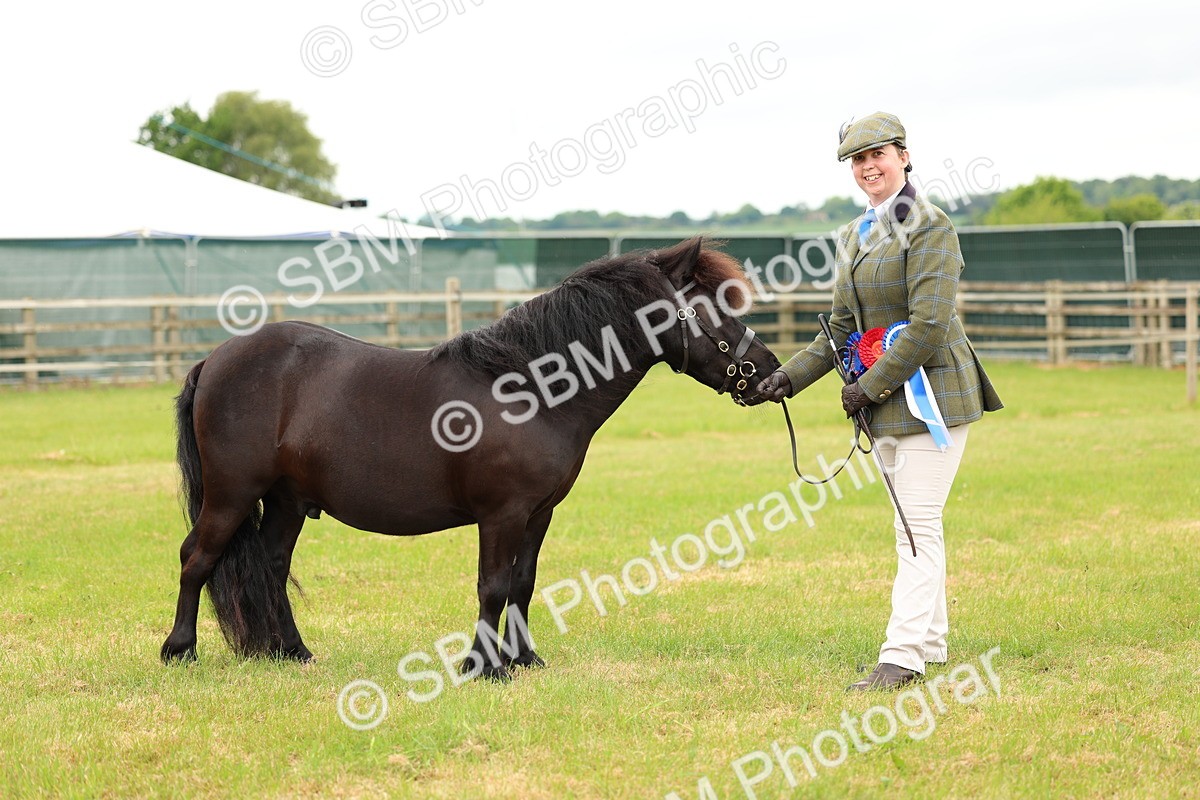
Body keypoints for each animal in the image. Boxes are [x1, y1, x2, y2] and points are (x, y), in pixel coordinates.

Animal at [160, 237, 781, 680]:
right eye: (711, 308)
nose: (768, 372)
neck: (532, 390)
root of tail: (213, 360)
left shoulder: (538, 514)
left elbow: (524, 582)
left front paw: (525, 660)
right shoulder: (500, 514)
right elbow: (493, 586)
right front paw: (484, 667)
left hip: (287, 501)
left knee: (270, 565)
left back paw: (289, 652)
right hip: (233, 494)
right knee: (197, 557)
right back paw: (180, 651)